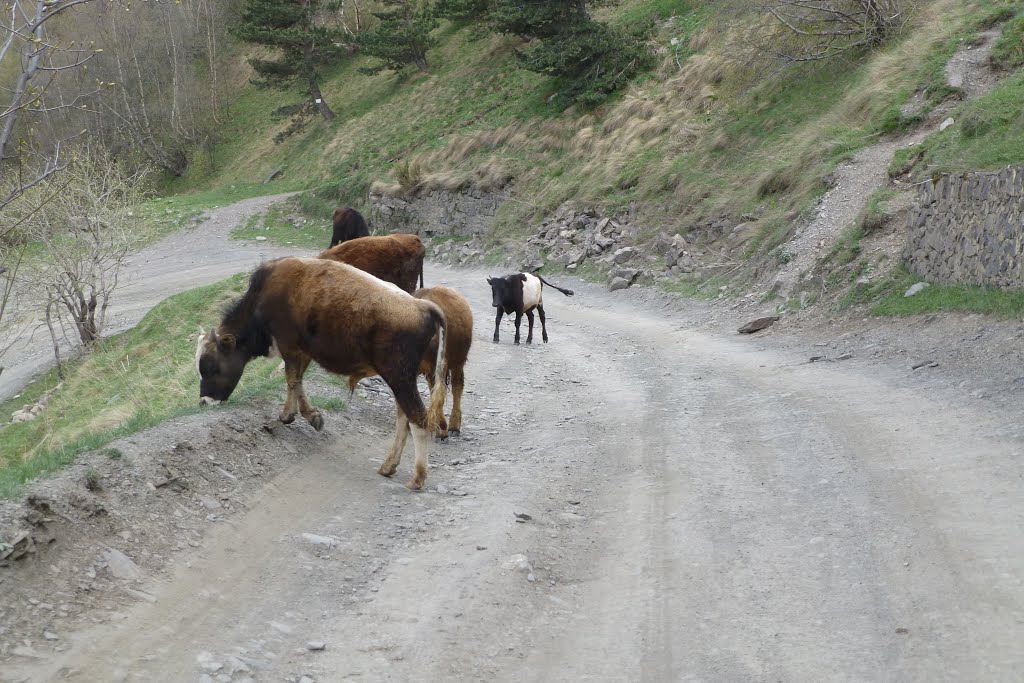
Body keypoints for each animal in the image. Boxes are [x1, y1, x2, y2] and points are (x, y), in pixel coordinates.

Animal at [195, 258, 444, 491]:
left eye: (210, 366)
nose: (204, 401)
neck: (264, 295)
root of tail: (423, 307)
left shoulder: (289, 345)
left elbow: (292, 378)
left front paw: (287, 415)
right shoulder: (304, 350)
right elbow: (298, 381)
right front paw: (312, 415)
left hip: (399, 377)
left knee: (418, 418)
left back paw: (417, 477)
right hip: (402, 379)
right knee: (404, 418)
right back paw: (388, 466)